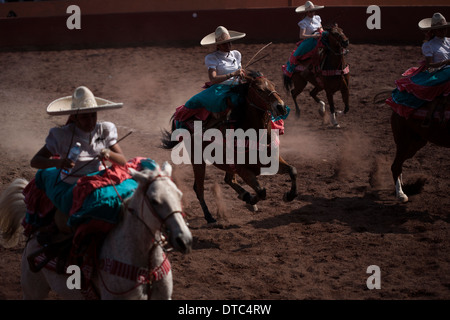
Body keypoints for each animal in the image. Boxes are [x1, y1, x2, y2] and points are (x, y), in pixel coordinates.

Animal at [160, 71, 298, 224]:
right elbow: (261, 191)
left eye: (274, 85)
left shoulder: (272, 162)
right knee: (199, 188)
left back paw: (245, 197)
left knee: (228, 179)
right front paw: (251, 199)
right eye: (259, 89)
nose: (281, 107)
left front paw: (289, 195)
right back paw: (210, 216)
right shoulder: (243, 170)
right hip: (198, 161)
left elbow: (292, 170)